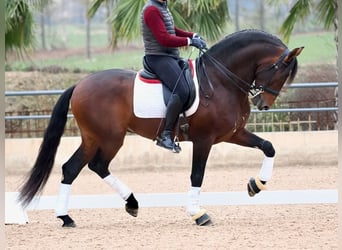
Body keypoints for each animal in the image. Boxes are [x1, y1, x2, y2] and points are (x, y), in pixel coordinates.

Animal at [19, 29, 302, 227]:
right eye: (280, 72)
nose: (263, 104)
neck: (221, 80)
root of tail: (80, 84)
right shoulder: (204, 139)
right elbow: (197, 175)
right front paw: (198, 214)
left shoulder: (232, 133)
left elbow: (268, 147)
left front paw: (256, 185)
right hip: (110, 137)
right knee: (96, 165)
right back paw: (121, 204)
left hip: (93, 137)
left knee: (73, 168)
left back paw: (70, 216)